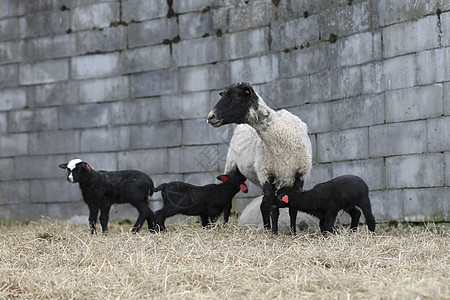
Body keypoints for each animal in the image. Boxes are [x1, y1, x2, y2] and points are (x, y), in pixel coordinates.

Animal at [208, 82, 312, 234]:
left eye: (236, 97)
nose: (211, 116)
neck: (282, 136)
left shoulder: (300, 175)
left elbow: (293, 209)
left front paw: (293, 234)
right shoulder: (267, 174)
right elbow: (274, 209)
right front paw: (274, 234)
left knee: (263, 206)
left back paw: (266, 229)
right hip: (233, 166)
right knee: (229, 201)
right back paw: (227, 225)